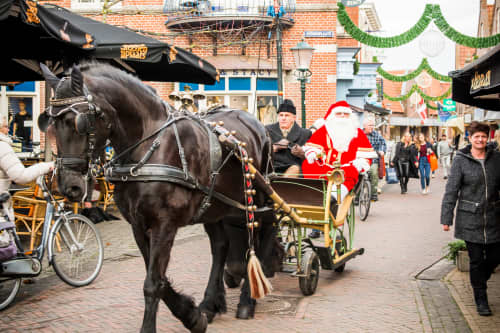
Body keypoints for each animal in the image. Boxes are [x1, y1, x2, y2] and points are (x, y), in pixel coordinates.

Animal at [39, 63, 280, 332]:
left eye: (78, 122)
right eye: (50, 122)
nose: (67, 186)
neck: (148, 145)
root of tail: (258, 125)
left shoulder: (165, 224)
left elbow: (152, 283)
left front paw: (166, 322)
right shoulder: (138, 225)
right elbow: (159, 278)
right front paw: (192, 315)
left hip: (255, 202)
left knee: (257, 241)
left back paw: (248, 300)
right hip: (213, 206)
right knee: (221, 247)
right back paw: (210, 303)